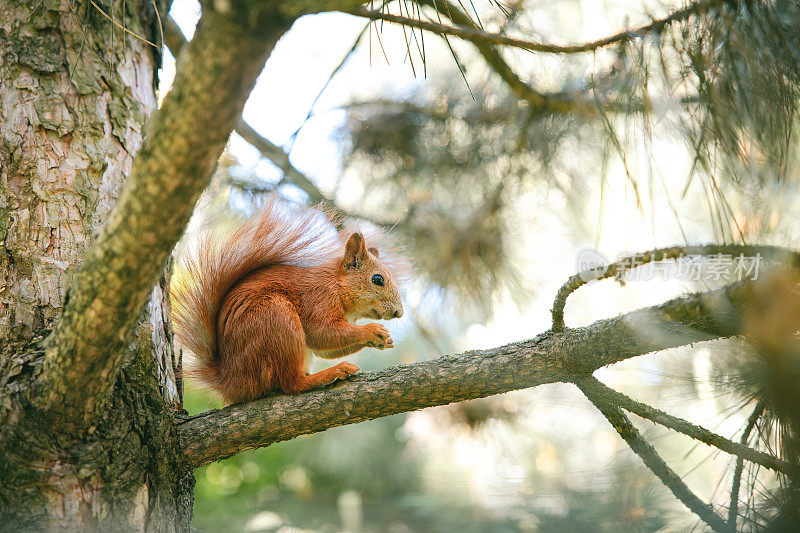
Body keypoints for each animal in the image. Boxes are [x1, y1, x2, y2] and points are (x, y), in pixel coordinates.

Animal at [170, 198, 406, 404]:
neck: (337, 286)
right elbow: (324, 333)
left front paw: (384, 340)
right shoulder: (318, 299)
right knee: (290, 383)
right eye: (377, 279)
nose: (399, 313)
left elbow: (325, 348)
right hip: (275, 319)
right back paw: (328, 373)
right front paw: (372, 330)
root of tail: (231, 381)